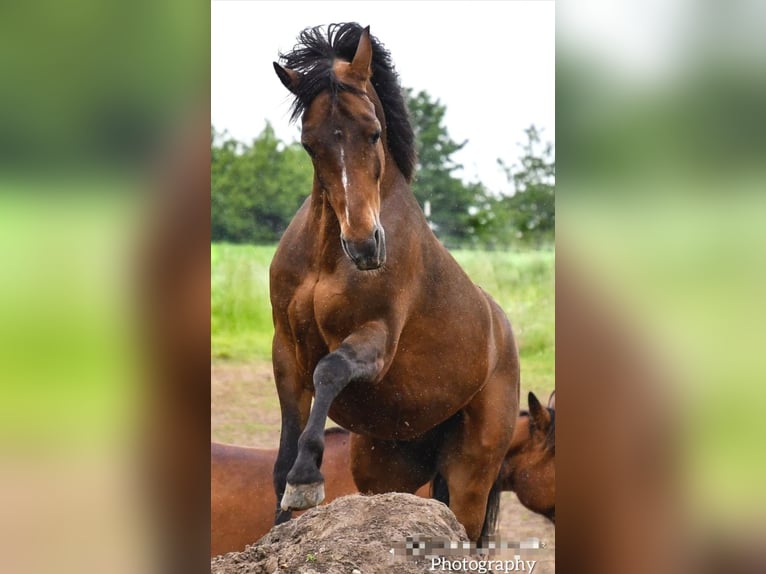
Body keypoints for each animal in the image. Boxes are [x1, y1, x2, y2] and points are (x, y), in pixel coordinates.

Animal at [269, 22, 520, 541]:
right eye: (309, 144)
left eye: (374, 133)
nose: (365, 245)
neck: (325, 257)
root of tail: (503, 335)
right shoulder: (285, 351)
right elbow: (281, 459)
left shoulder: (377, 341)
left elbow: (330, 370)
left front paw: (307, 479)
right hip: (384, 465)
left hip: (471, 473)